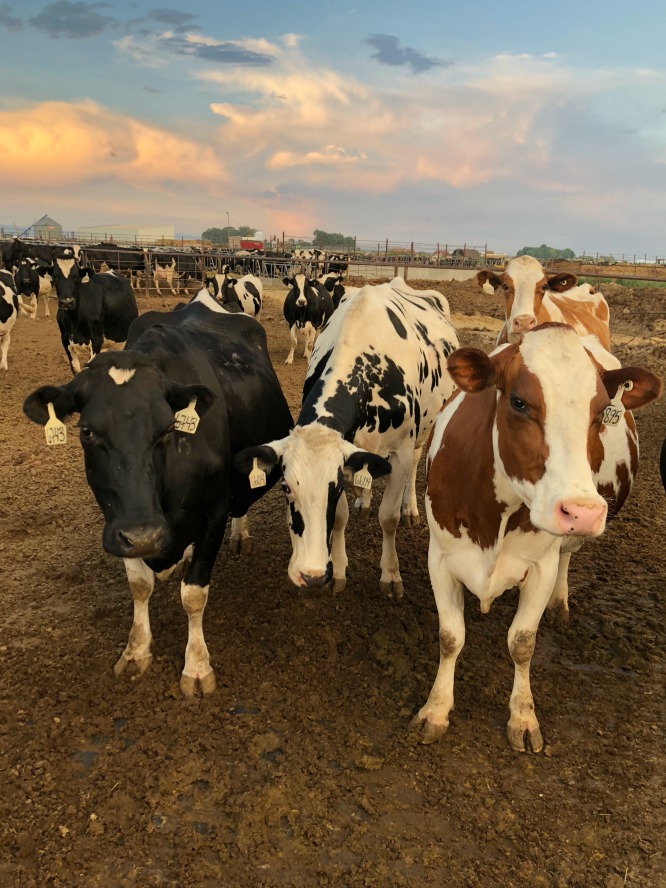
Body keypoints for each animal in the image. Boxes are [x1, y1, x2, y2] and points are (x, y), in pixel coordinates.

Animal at [23, 302, 294, 696]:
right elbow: (139, 586)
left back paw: (240, 535)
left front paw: (196, 666)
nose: (145, 535)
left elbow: (194, 594)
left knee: (243, 501)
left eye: (168, 428)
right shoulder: (119, 521)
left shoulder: (213, 513)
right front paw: (136, 650)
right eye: (86, 431)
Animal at [236, 278, 460, 596]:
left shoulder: (401, 451)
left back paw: (411, 508)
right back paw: (363, 500)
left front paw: (391, 574)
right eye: (285, 487)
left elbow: (388, 517)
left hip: (424, 430)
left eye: (334, 487)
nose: (310, 574)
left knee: (417, 464)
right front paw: (339, 571)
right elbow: (340, 518)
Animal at [410, 322, 660, 752]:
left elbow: (523, 642)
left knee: (567, 556)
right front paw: (436, 710)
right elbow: (450, 636)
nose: (583, 511)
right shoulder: (440, 556)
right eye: (519, 402)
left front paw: (523, 716)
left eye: (601, 413)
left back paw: (560, 603)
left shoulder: (540, 566)